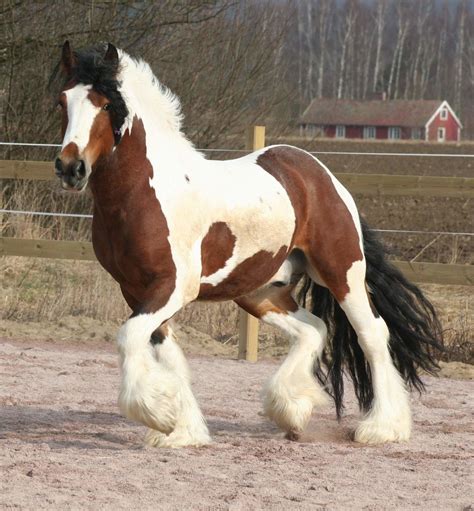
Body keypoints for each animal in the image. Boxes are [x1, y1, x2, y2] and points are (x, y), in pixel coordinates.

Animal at [53, 43, 442, 448]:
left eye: (106, 105)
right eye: (62, 101)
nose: (70, 167)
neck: (144, 194)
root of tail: (320, 175)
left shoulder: (173, 287)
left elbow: (130, 337)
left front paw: (157, 415)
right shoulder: (134, 290)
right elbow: (168, 352)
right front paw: (183, 430)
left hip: (342, 272)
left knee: (372, 334)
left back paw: (383, 428)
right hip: (259, 290)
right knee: (313, 329)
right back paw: (291, 411)